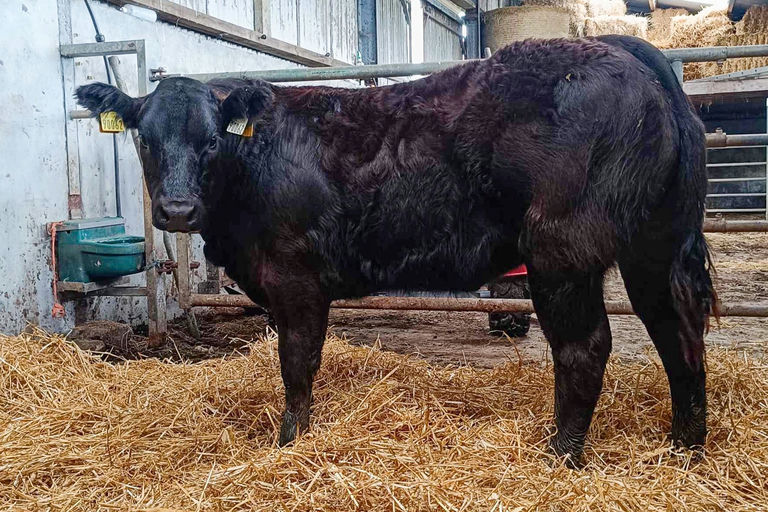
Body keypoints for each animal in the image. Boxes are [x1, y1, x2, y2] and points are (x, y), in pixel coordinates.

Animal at [77, 35, 715, 464]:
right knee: (676, 332)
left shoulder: (294, 274)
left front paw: (289, 442)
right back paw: (684, 449)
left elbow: (297, 361)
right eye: (144, 138)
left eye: (212, 140)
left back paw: (561, 456)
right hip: (652, 244)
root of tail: (616, 49)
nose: (177, 210)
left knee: (586, 346)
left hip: (561, 249)